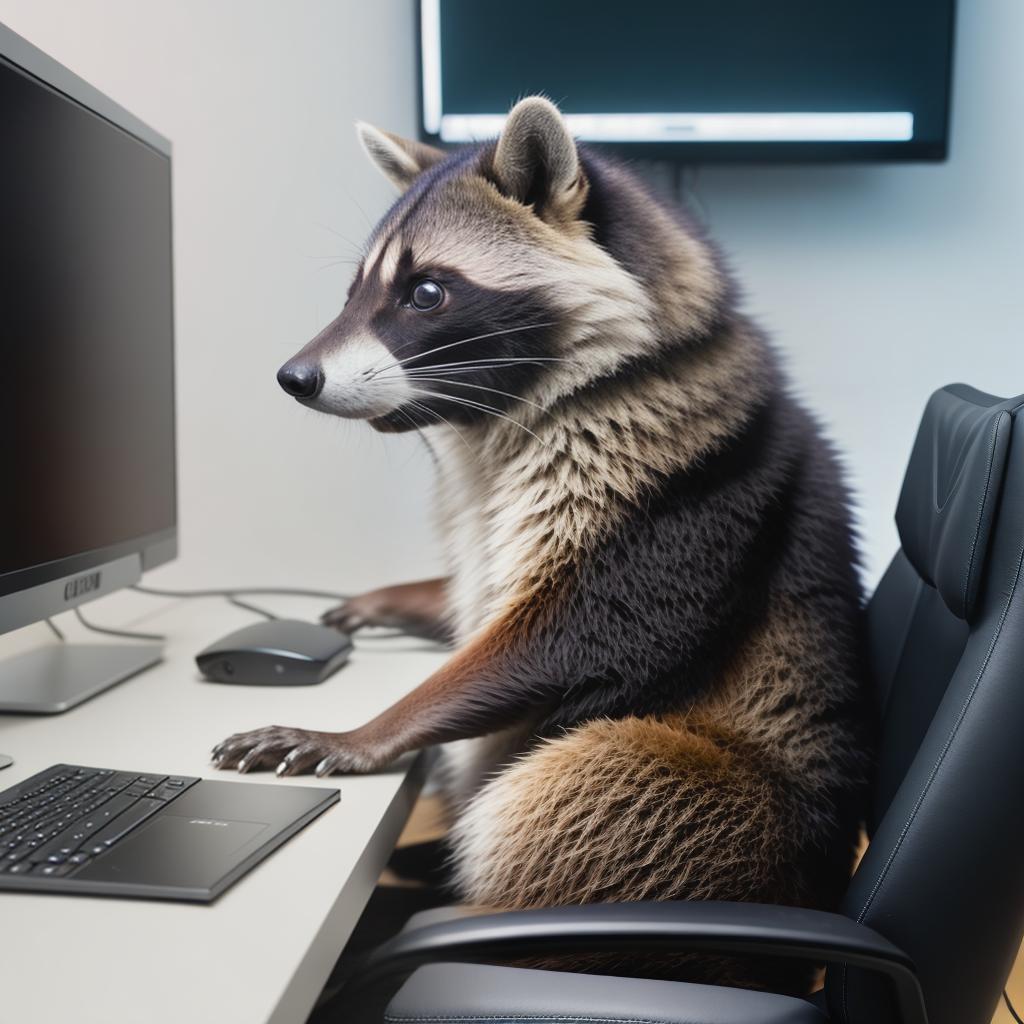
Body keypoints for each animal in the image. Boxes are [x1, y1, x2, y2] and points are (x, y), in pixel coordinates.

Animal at [214, 96, 872, 991]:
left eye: (425, 292)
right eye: (354, 291)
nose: (294, 378)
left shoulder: (688, 494)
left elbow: (580, 635)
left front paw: (367, 729)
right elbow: (475, 596)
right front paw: (395, 600)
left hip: (715, 818)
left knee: (583, 770)